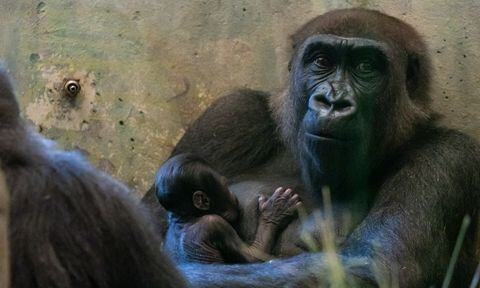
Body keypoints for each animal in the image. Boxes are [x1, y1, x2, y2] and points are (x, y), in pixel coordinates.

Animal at [156, 154, 302, 264]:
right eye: (225, 185)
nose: (232, 193)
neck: (186, 217)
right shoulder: (215, 224)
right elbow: (252, 257)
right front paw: (274, 213)